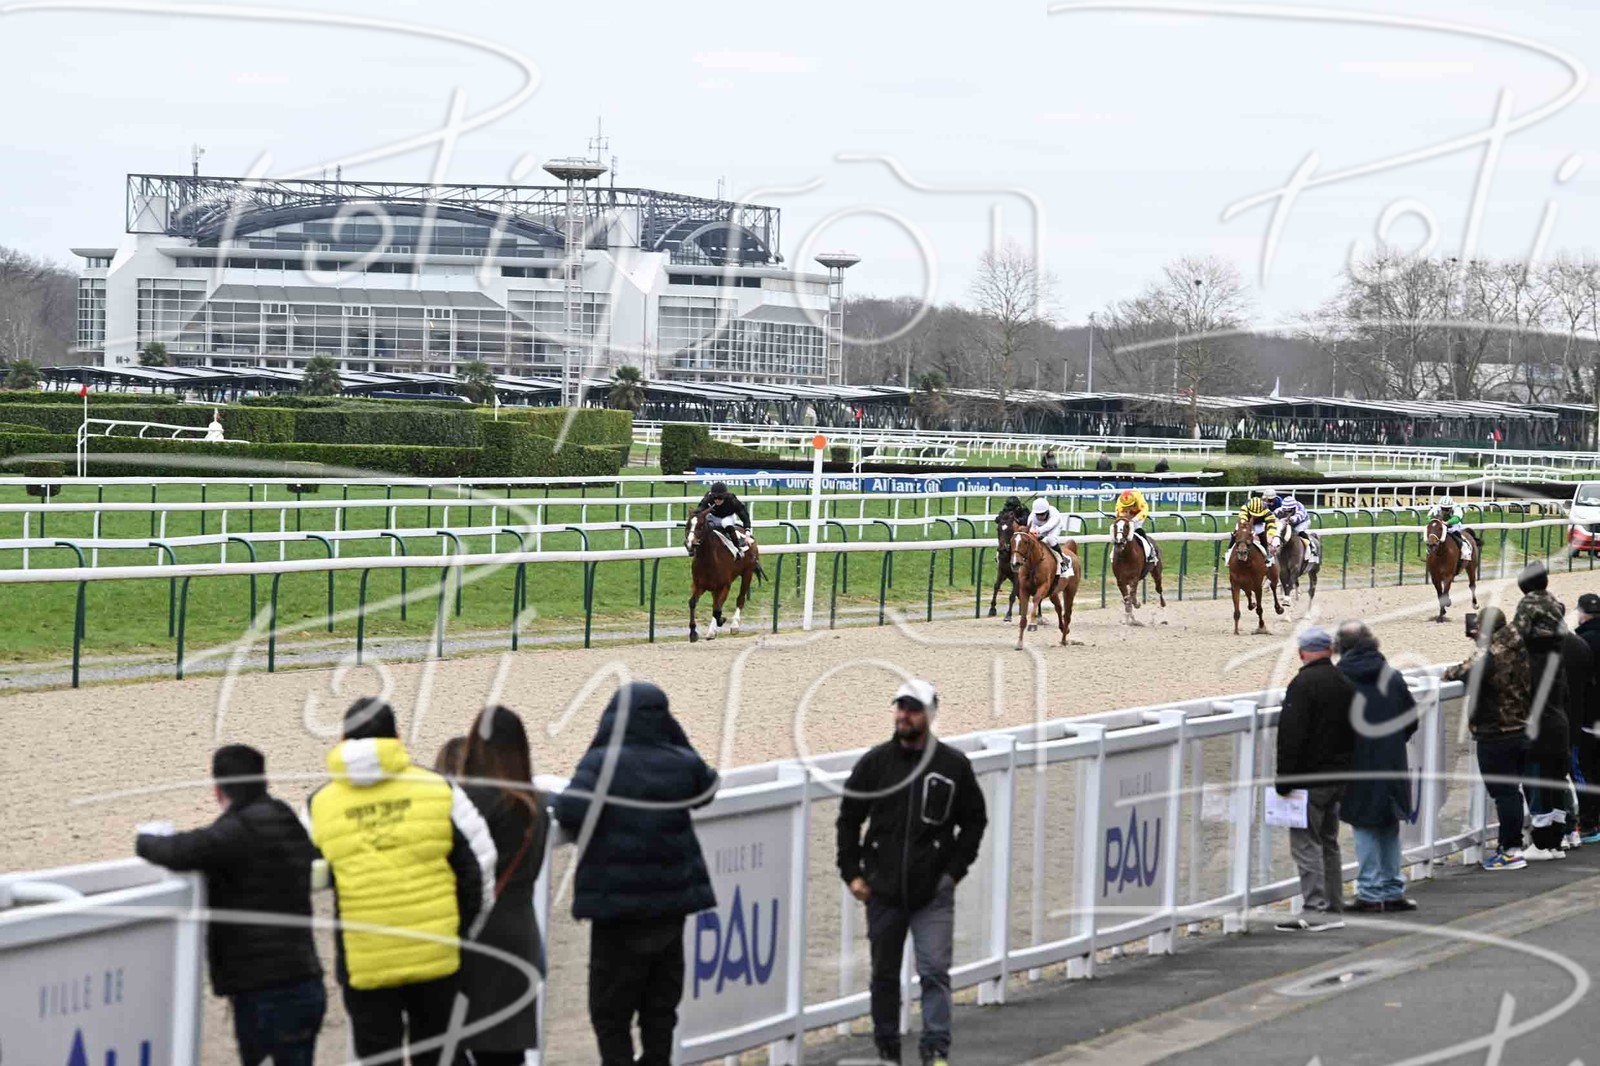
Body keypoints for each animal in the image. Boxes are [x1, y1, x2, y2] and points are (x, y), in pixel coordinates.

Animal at [685, 508, 764, 642]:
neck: (708, 560)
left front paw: (720, 622)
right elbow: (693, 603)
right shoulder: (699, 585)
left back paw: (734, 625)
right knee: (716, 603)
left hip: (747, 573)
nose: (690, 544)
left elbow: (717, 610)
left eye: (701, 525)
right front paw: (693, 633)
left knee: (740, 599)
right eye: (687, 525)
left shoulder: (725, 586)